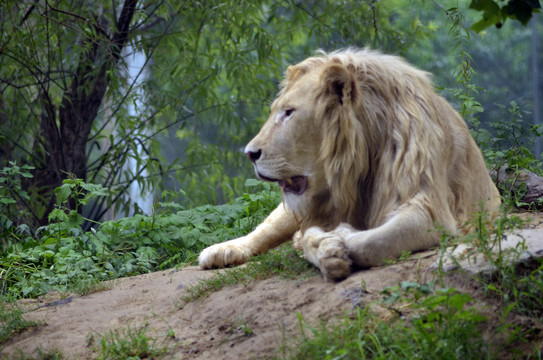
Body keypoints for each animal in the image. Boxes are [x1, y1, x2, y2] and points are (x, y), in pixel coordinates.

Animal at [197, 47, 502, 282]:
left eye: (289, 112)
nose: (249, 153)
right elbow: (309, 237)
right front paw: (325, 247)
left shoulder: (430, 210)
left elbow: (375, 240)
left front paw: (336, 240)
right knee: (266, 229)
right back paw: (219, 251)